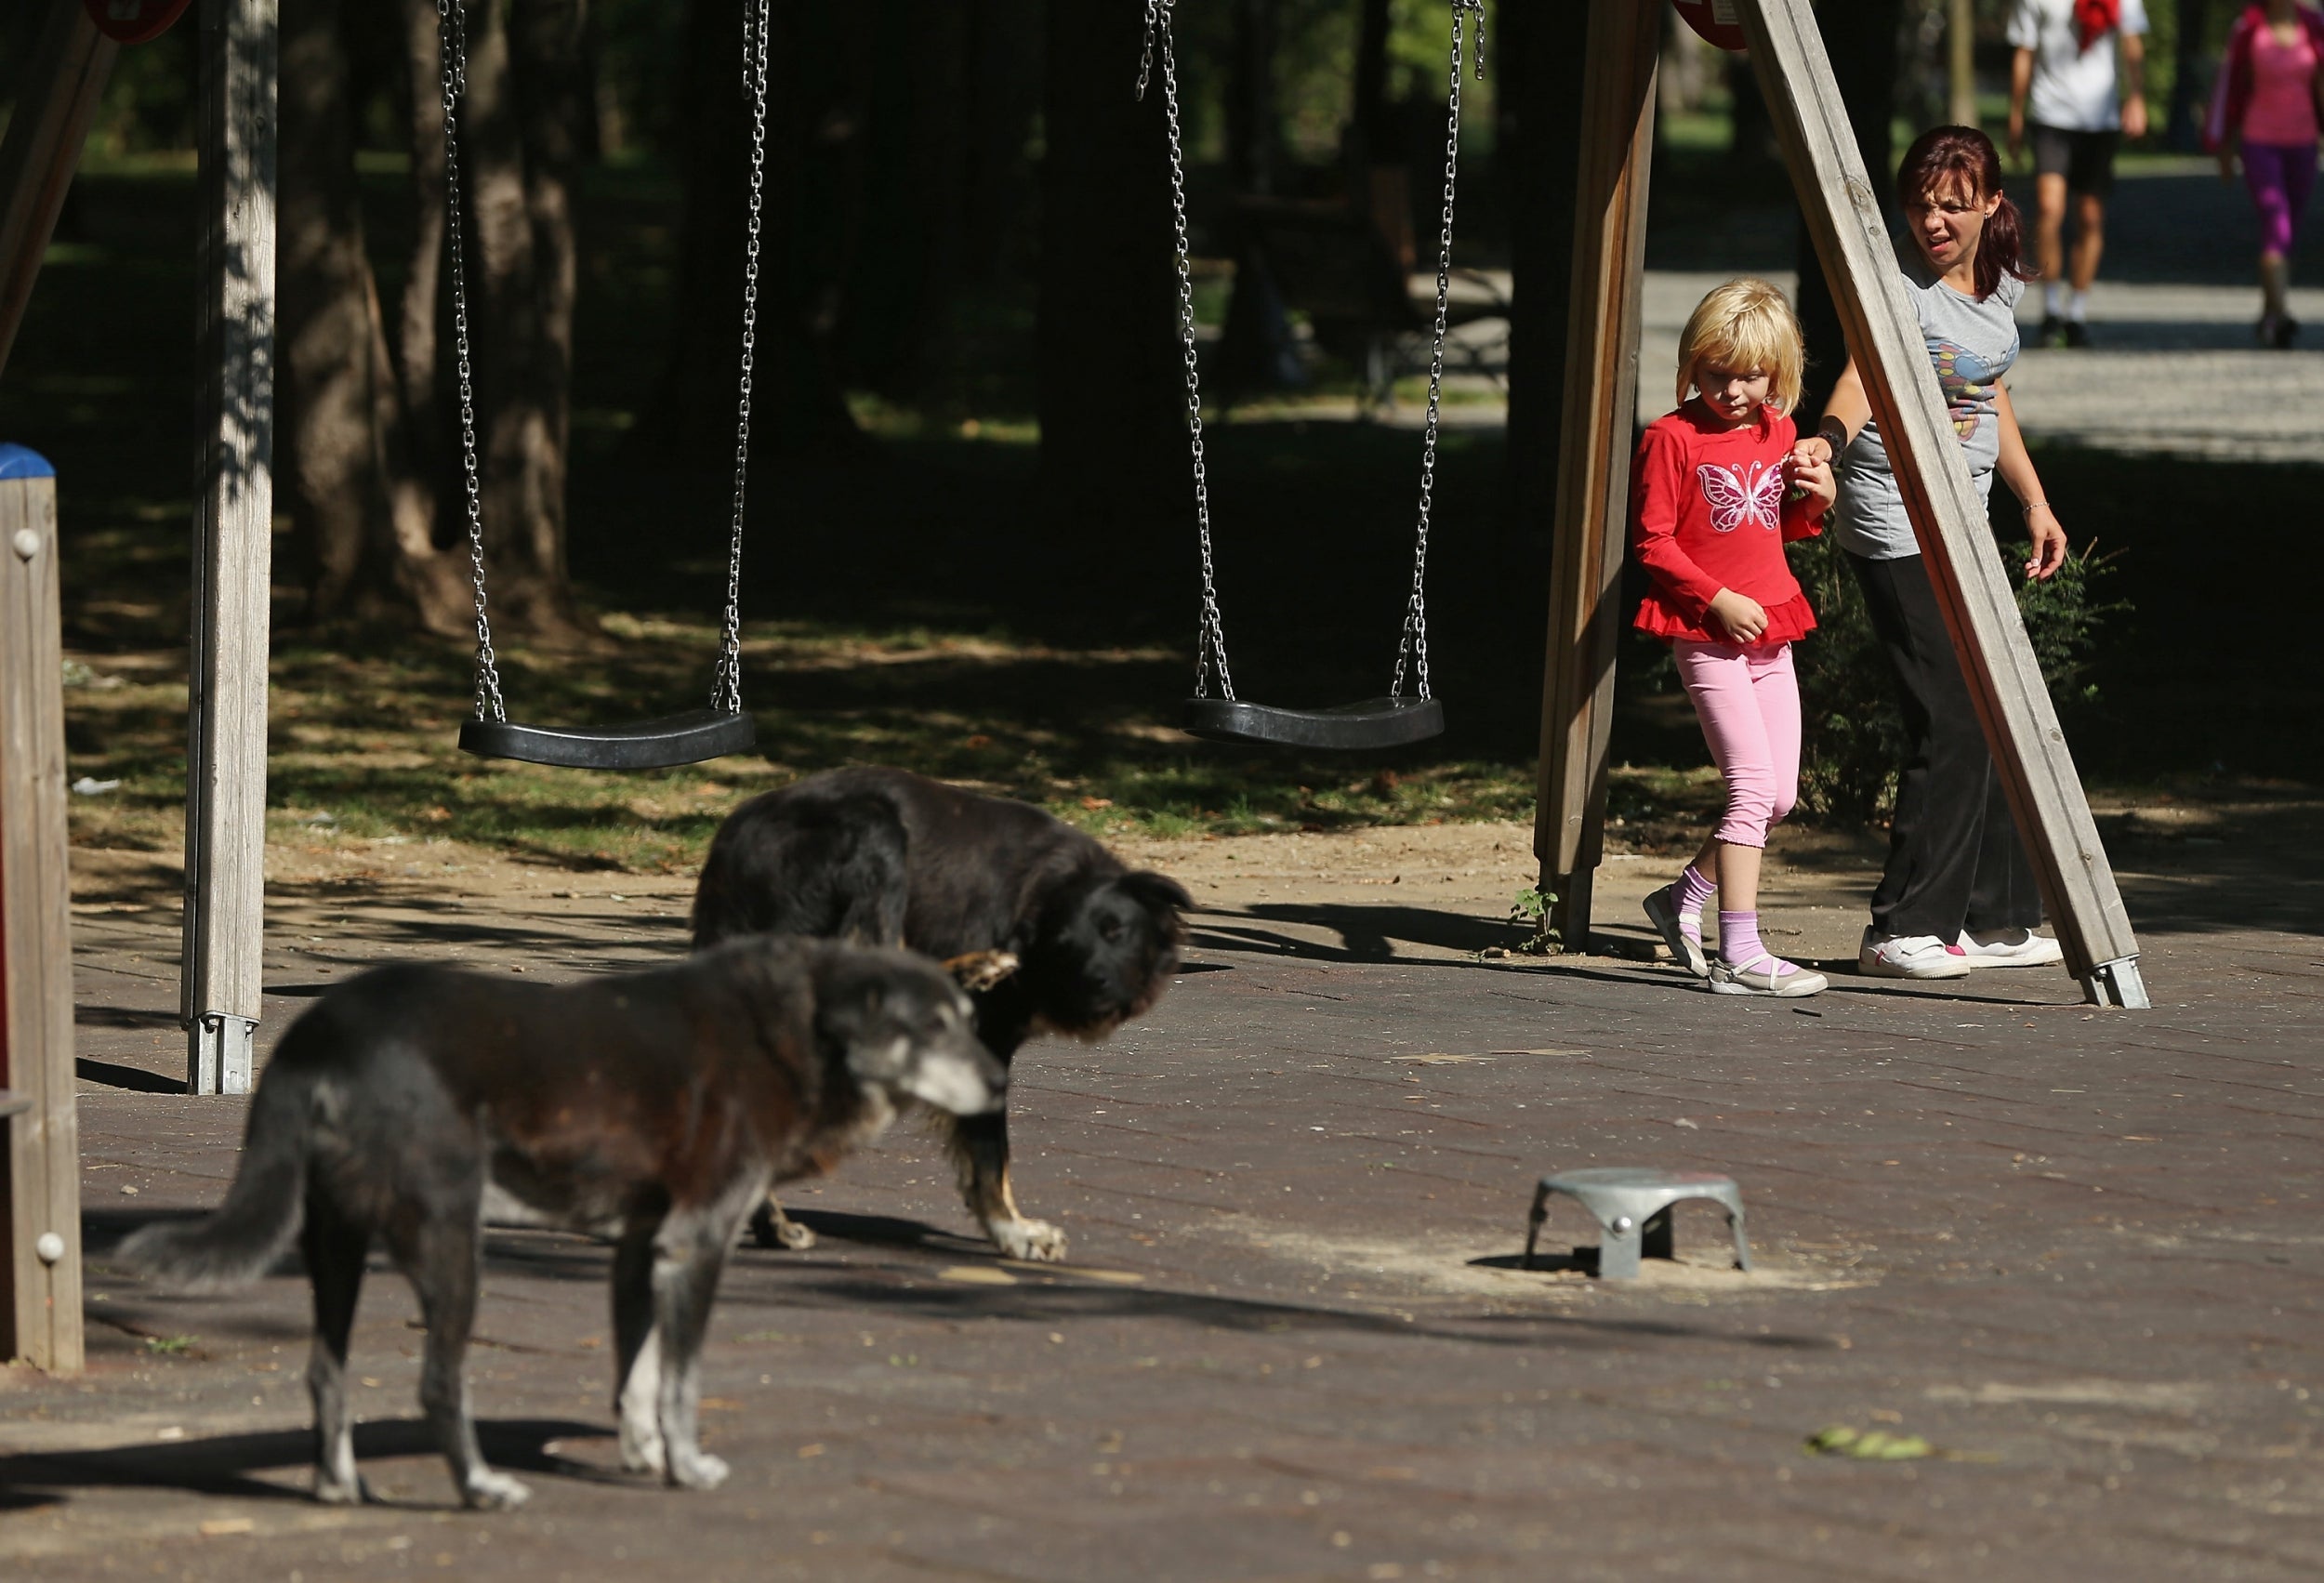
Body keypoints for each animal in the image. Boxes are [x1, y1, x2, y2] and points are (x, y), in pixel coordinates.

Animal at [111, 939, 999, 1506]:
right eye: (933, 1025)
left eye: (969, 1015)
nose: (998, 1082)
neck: (796, 1025)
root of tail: (321, 1036)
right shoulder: (698, 1244)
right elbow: (680, 1379)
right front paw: (685, 1467)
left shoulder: (641, 1250)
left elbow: (636, 1374)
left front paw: (641, 1456)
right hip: (450, 1242)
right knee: (439, 1382)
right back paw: (478, 1488)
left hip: (338, 1245)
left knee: (326, 1373)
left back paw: (339, 1487)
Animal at [688, 767, 1190, 1255]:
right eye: (1065, 950)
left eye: (1115, 930)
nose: (1094, 983)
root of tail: (728, 849)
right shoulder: (989, 1040)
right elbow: (990, 1152)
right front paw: (1014, 1232)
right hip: (876, 832)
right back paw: (968, 972)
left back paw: (773, 1227)